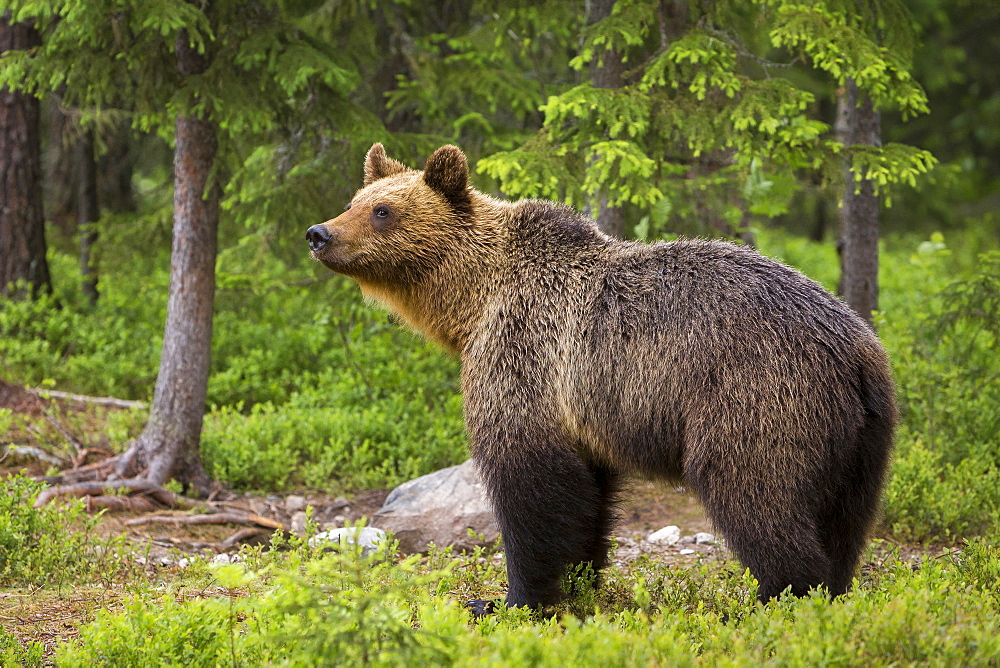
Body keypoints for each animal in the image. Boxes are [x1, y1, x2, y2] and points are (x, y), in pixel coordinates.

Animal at [304, 144, 900, 612]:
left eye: (383, 210)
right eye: (356, 200)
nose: (318, 232)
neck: (471, 305)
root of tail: (856, 351)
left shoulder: (525, 359)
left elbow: (532, 489)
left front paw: (509, 599)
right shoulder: (582, 410)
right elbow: (588, 496)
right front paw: (579, 581)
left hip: (756, 399)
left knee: (756, 497)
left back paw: (782, 595)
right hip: (863, 439)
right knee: (845, 521)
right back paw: (834, 588)